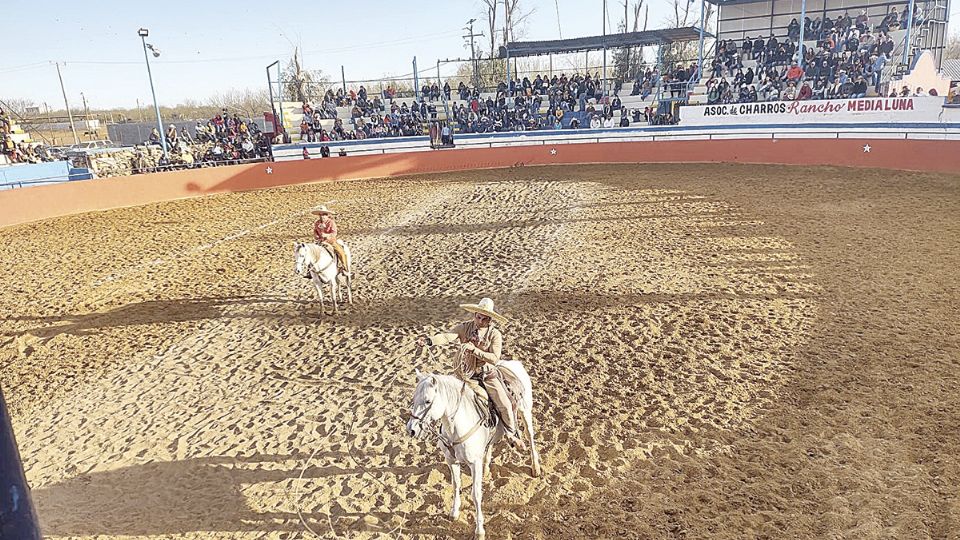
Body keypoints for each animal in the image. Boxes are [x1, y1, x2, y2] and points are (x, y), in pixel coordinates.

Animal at [404, 360, 540, 536]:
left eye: (428, 401)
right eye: (414, 399)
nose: (411, 430)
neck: (455, 428)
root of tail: (513, 362)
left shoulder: (474, 464)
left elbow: (476, 494)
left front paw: (479, 529)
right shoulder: (451, 461)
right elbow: (456, 485)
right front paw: (454, 512)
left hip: (525, 412)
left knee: (530, 437)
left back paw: (535, 468)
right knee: (490, 445)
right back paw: (487, 468)